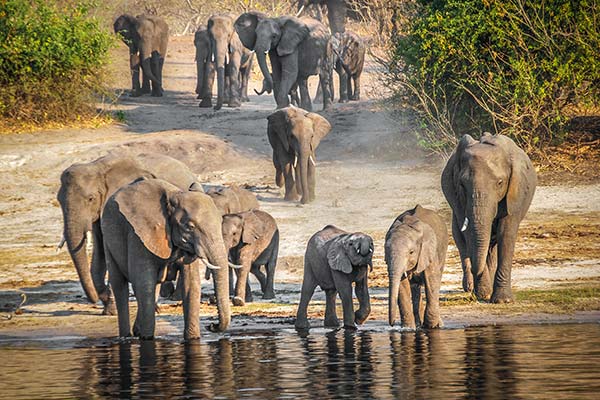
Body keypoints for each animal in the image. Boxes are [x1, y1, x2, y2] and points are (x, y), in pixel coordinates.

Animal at [56, 152, 198, 314]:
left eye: (90, 199)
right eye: (58, 200)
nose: (94, 300)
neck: (97, 167)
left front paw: (112, 309)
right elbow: (101, 251)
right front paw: (109, 309)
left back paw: (175, 298)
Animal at [101, 180, 230, 340]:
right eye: (190, 227)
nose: (211, 325)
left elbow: (191, 284)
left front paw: (193, 339)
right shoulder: (138, 235)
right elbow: (144, 284)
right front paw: (147, 339)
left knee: (153, 286)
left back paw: (137, 331)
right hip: (107, 238)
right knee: (120, 285)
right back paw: (126, 336)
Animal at [440, 133, 536, 302]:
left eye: (500, 183)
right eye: (462, 185)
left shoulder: (515, 193)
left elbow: (506, 233)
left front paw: (502, 301)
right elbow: (469, 235)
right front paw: (483, 293)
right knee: (462, 240)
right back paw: (471, 286)